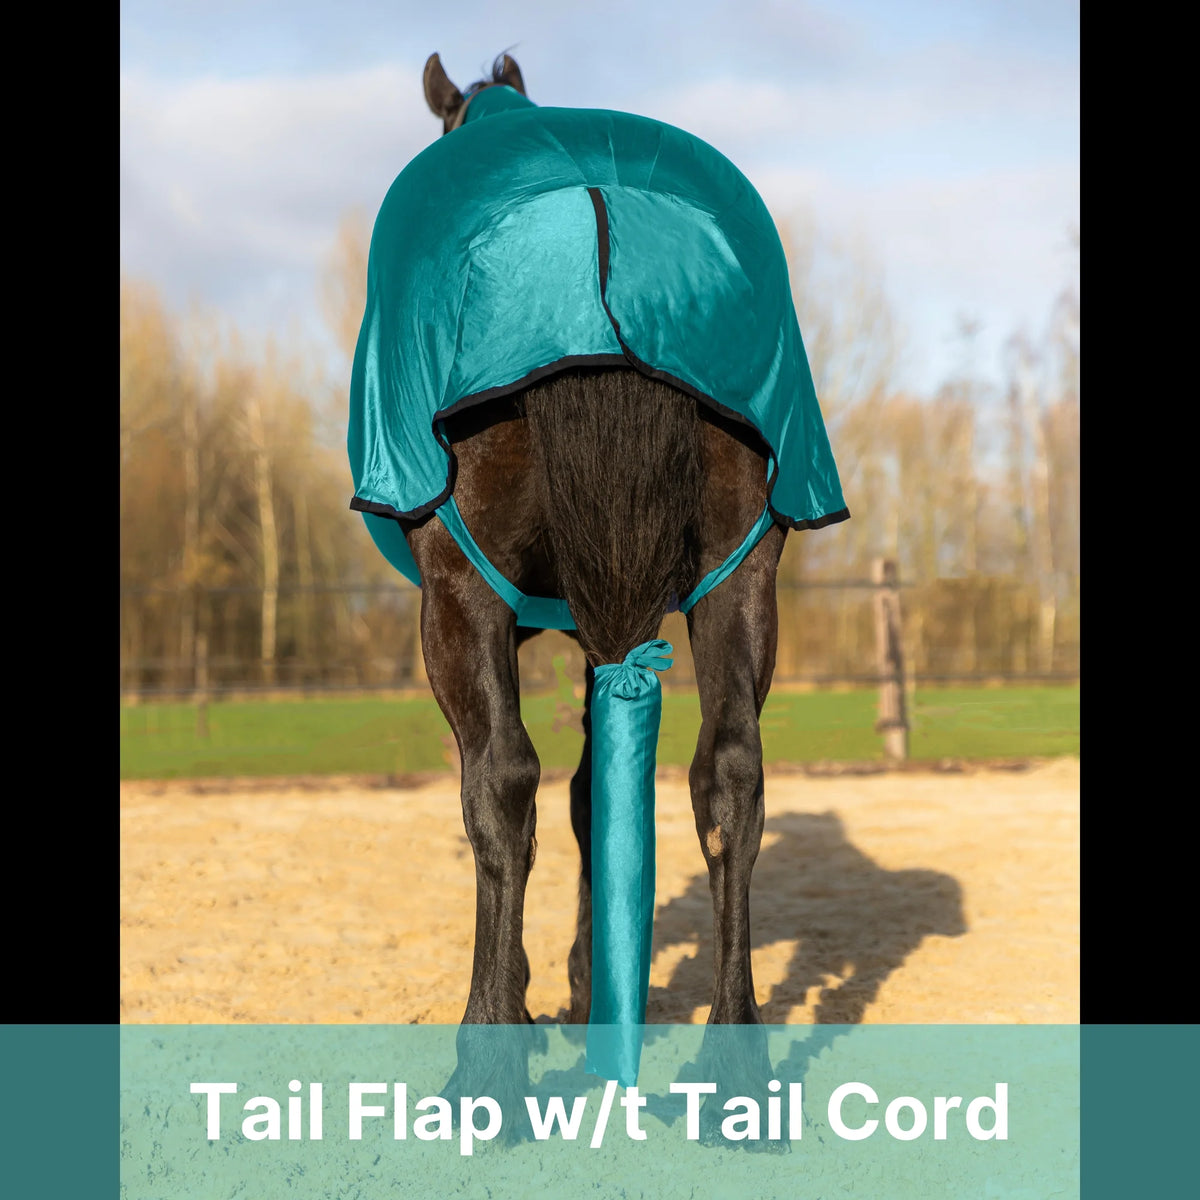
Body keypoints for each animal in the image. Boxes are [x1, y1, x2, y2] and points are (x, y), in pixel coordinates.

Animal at [349, 51, 848, 1127]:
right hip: (741, 575)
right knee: (730, 777)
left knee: (499, 783)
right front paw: (592, 991)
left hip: (461, 593)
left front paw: (545, 1000)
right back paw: (734, 1074)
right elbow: (595, 794)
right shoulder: (606, 627)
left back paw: (486, 1065)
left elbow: (527, 794)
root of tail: (599, 218)